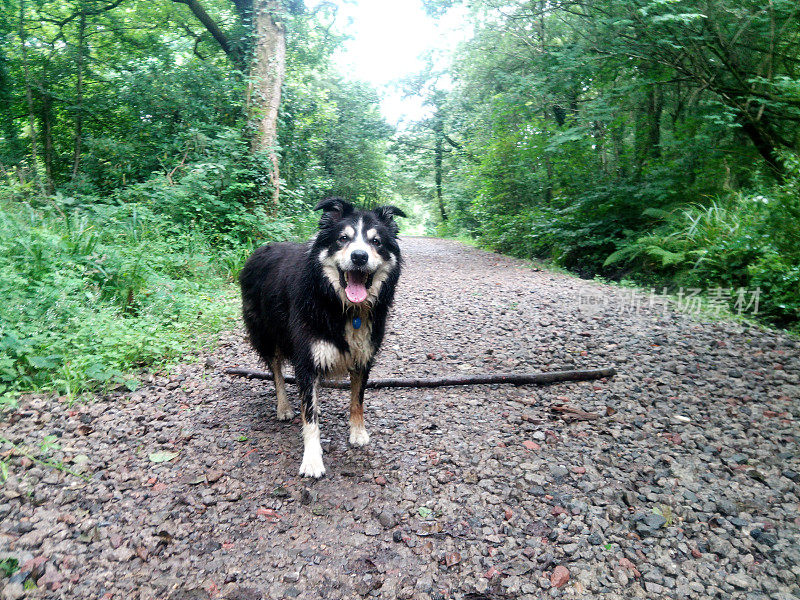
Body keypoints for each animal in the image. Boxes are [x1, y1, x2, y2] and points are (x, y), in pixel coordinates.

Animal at [236, 197, 400, 478]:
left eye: (376, 241)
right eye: (343, 239)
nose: (359, 256)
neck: (342, 306)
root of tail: (260, 250)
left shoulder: (363, 356)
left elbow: (357, 400)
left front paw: (358, 433)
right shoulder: (306, 353)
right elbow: (309, 418)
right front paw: (312, 459)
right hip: (268, 334)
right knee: (277, 373)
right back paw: (284, 407)